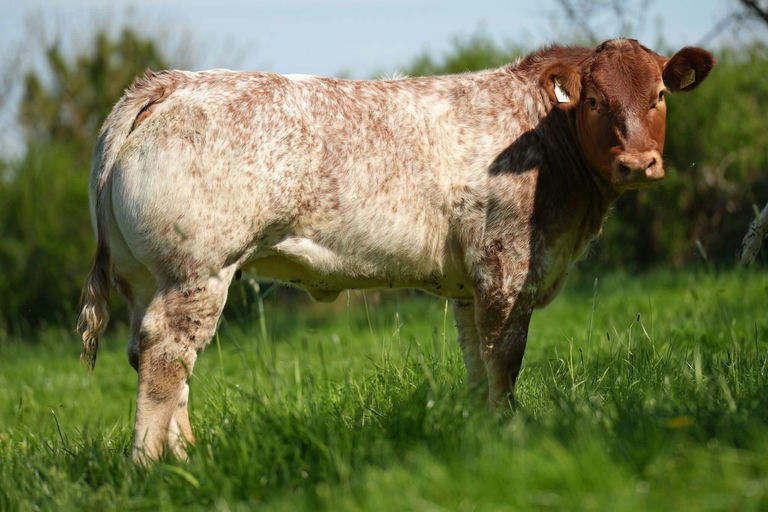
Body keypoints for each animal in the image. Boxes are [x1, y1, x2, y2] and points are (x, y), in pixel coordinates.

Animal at [77, 38, 714, 463]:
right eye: (594, 102)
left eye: (659, 94)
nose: (638, 163)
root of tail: (171, 81)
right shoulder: (506, 266)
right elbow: (505, 358)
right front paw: (508, 433)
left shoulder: (469, 285)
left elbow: (476, 360)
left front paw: (481, 430)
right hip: (198, 270)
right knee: (166, 357)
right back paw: (149, 466)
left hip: (149, 278)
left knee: (152, 353)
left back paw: (186, 461)